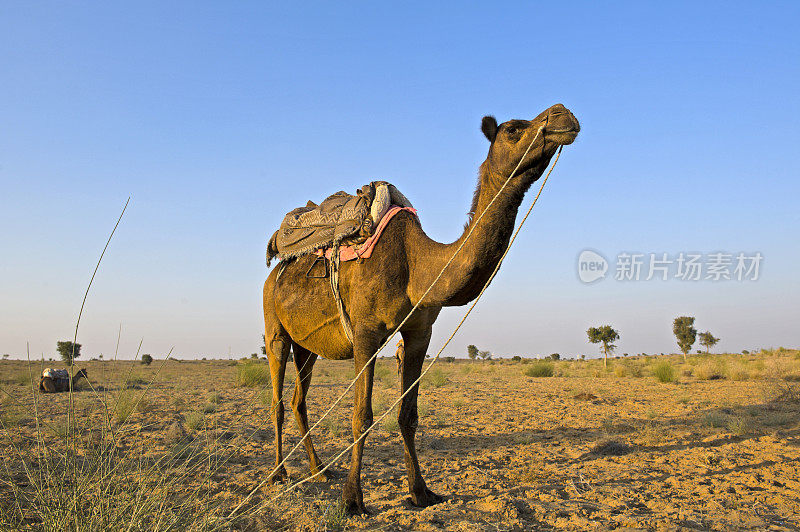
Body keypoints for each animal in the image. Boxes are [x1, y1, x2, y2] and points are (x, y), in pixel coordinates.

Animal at [264, 102, 580, 512]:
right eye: (512, 128)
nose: (563, 114)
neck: (418, 262)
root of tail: (276, 268)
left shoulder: (419, 331)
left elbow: (408, 415)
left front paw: (421, 492)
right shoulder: (366, 332)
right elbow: (361, 416)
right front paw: (352, 501)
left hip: (307, 345)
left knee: (299, 400)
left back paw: (319, 470)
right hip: (274, 327)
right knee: (278, 400)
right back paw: (279, 474)